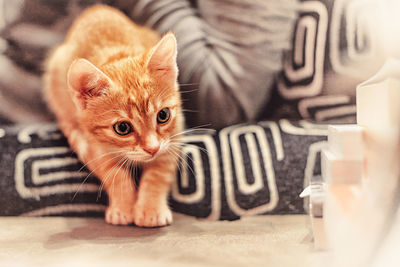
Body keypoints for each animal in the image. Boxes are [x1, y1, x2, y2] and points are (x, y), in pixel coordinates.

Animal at [43, 5, 184, 227]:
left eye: (163, 115)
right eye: (122, 128)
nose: (152, 149)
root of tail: (97, 8)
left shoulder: (174, 133)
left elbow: (159, 172)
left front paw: (150, 209)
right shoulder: (94, 145)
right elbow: (113, 173)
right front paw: (123, 207)